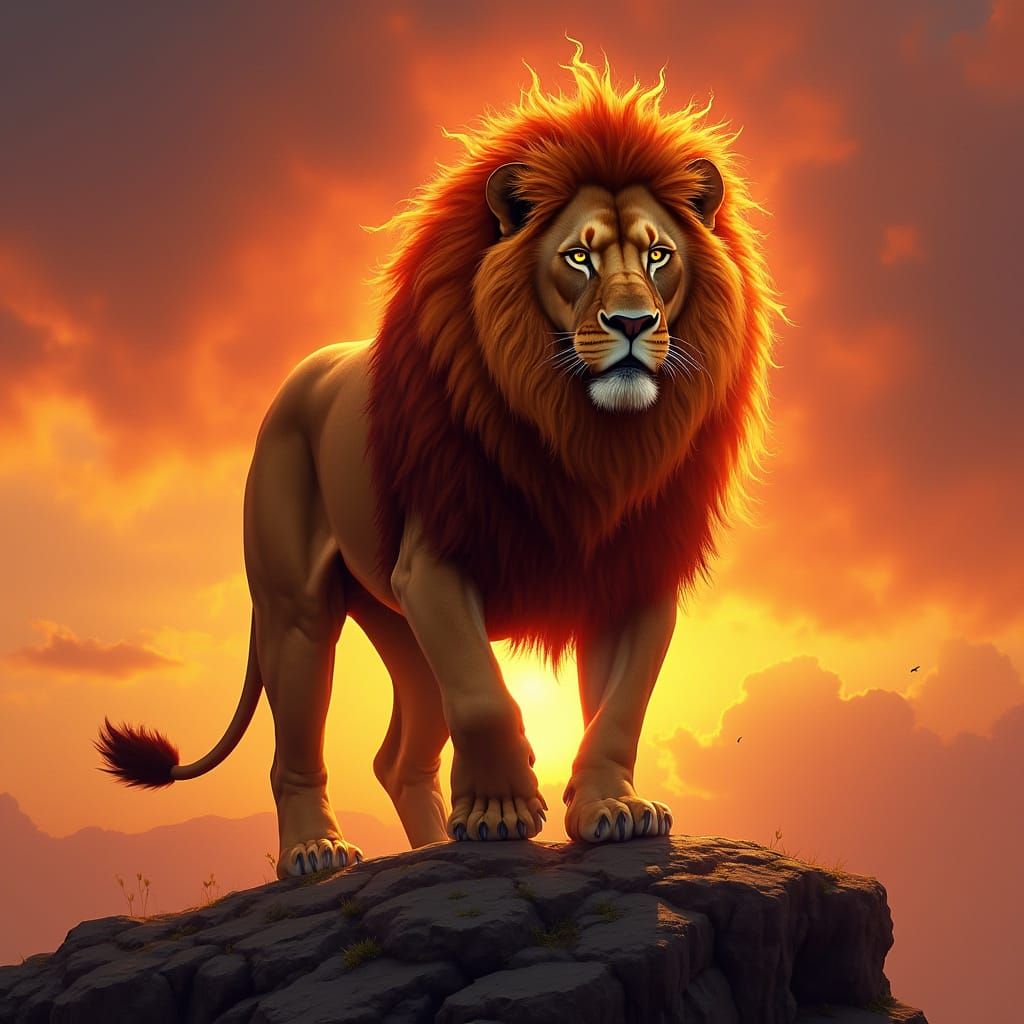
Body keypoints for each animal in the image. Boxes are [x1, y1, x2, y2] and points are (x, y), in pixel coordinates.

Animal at [96, 47, 779, 878]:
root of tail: (297, 380)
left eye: (658, 255)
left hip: (396, 626)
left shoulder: (635, 572)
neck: (588, 434)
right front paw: (500, 812)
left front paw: (612, 808)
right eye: (578, 257)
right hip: (299, 612)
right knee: (294, 748)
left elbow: (620, 707)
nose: (631, 322)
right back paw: (317, 851)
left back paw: (425, 849)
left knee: (399, 756)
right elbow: (486, 696)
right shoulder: (436, 565)